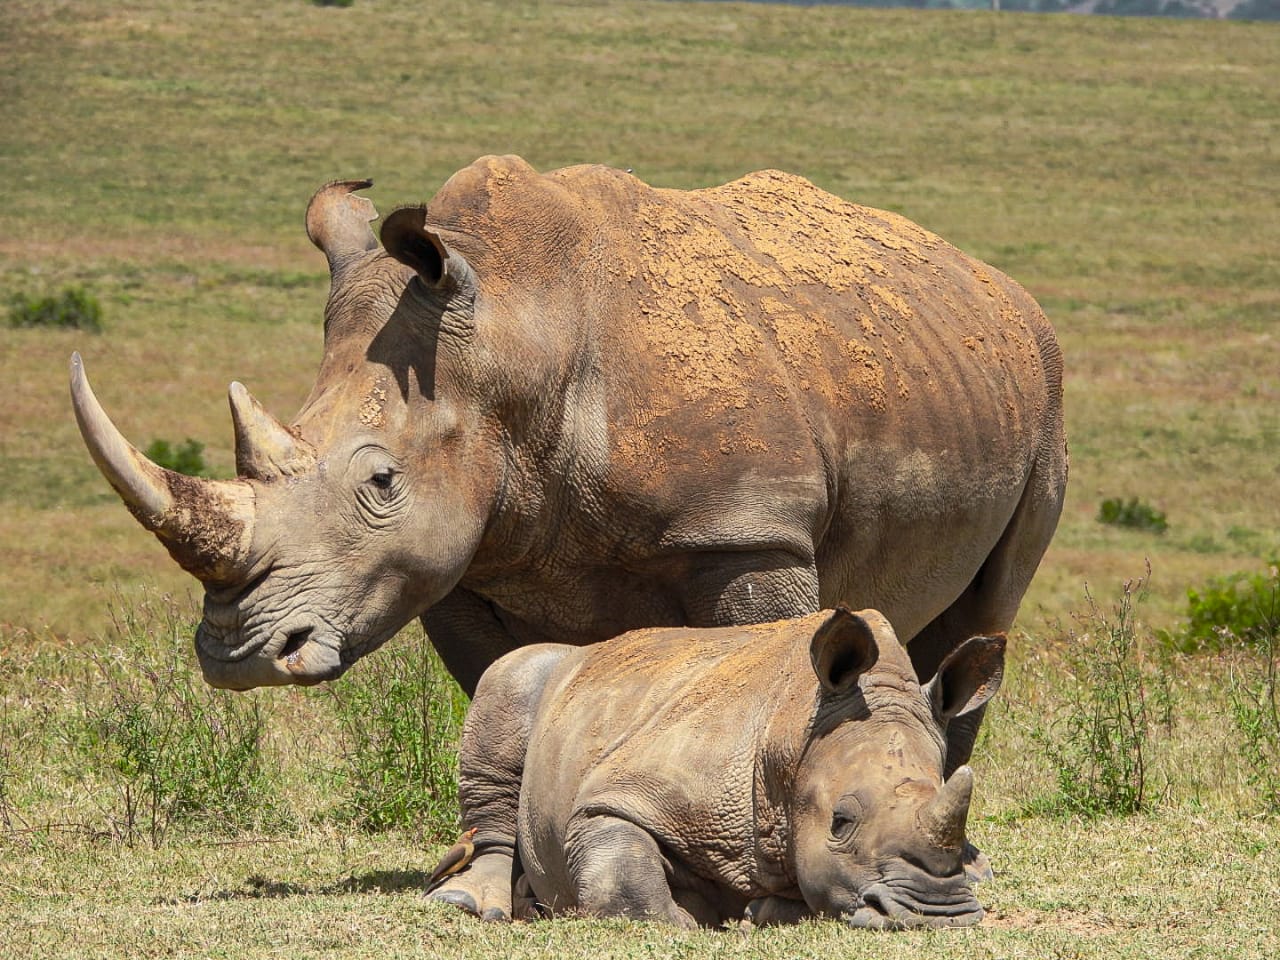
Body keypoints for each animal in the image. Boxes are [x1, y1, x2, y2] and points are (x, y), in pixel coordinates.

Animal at [71, 155, 1064, 771]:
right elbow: (500, 694)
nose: (239, 655)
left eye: (381, 483)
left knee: (987, 611)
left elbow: (760, 672)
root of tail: (994, 285)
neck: (517, 336)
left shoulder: (747, 532)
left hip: (1043, 386)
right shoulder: (464, 555)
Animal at [444, 608, 1004, 928]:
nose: (938, 915)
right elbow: (620, 864)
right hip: (539, 677)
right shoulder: (632, 789)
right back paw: (475, 905)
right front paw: (687, 918)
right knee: (511, 677)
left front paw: (757, 912)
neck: (792, 735)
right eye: (840, 823)